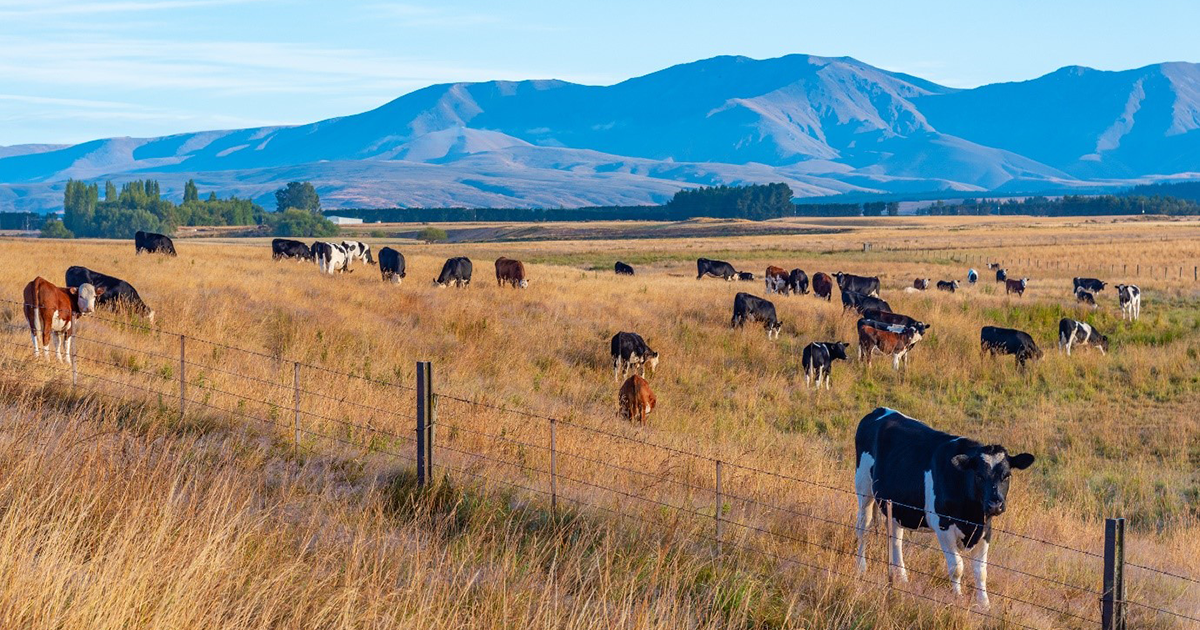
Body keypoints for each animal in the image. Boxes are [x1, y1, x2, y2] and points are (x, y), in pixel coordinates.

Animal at [854, 405, 1032, 607]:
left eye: (1007, 475)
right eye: (979, 475)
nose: (995, 504)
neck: (972, 517)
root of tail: (880, 410)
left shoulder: (986, 529)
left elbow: (981, 571)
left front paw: (984, 605)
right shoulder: (943, 527)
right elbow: (957, 567)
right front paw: (958, 598)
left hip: (895, 505)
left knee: (895, 537)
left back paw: (902, 577)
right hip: (863, 488)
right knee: (863, 527)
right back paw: (861, 567)